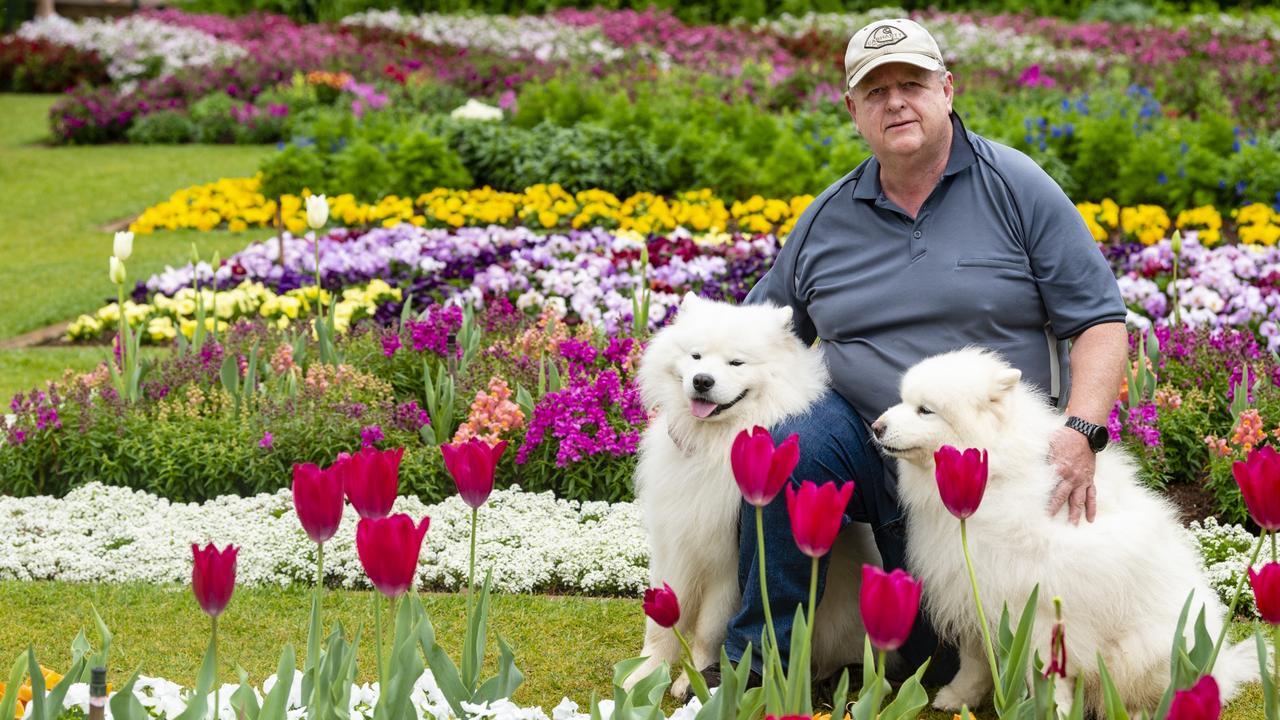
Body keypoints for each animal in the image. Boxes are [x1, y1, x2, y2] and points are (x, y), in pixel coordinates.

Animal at [627, 293, 880, 696]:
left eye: (736, 362)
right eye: (696, 356)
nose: (702, 380)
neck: (716, 444)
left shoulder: (727, 565)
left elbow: (708, 629)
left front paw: (696, 679)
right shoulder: (674, 546)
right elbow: (662, 625)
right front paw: (644, 674)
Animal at [870, 345, 1259, 712]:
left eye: (925, 410)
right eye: (904, 401)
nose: (875, 427)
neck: (993, 477)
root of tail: (1223, 665)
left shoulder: (1040, 607)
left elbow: (1045, 671)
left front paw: (1050, 709)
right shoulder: (971, 585)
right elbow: (975, 658)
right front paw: (959, 696)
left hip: (1145, 650)